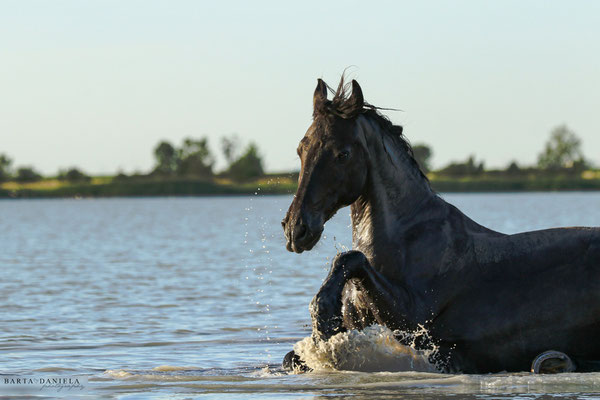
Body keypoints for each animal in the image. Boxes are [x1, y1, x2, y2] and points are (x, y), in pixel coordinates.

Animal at [282, 79, 600, 376]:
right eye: (300, 149)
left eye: (343, 154)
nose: (296, 229)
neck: (406, 238)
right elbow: (291, 358)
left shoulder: (414, 325)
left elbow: (349, 257)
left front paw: (324, 318)